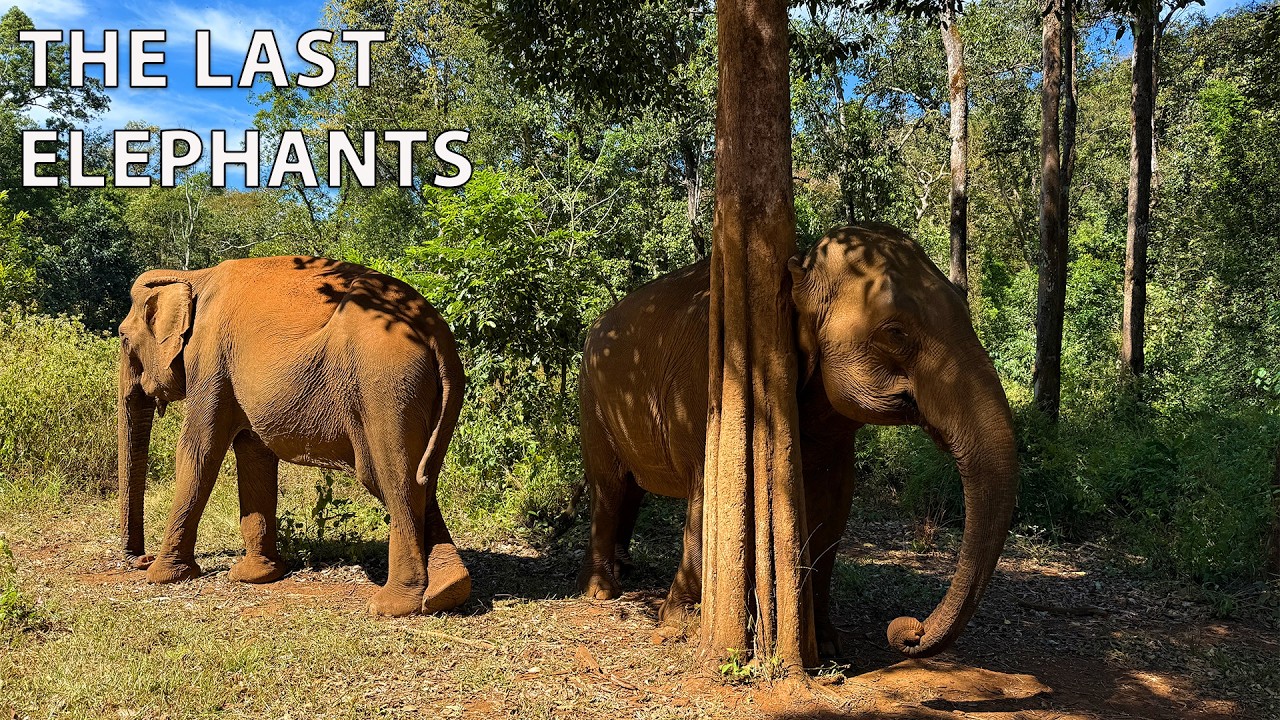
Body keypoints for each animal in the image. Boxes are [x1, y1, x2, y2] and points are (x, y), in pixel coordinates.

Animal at [118, 256, 471, 617]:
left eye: (122, 338)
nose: (139, 559)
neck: (192, 277)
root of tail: (438, 334)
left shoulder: (209, 360)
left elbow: (199, 451)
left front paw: (161, 576)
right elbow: (254, 455)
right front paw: (255, 576)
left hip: (386, 385)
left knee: (393, 478)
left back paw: (392, 605)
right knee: (421, 479)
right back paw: (449, 591)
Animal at [576, 223, 1018, 659]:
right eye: (895, 333)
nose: (908, 631)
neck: (799, 267)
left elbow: (832, 503)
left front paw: (825, 642)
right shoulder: (712, 386)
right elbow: (708, 488)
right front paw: (680, 622)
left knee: (631, 488)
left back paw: (624, 568)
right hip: (591, 401)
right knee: (608, 486)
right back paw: (601, 592)